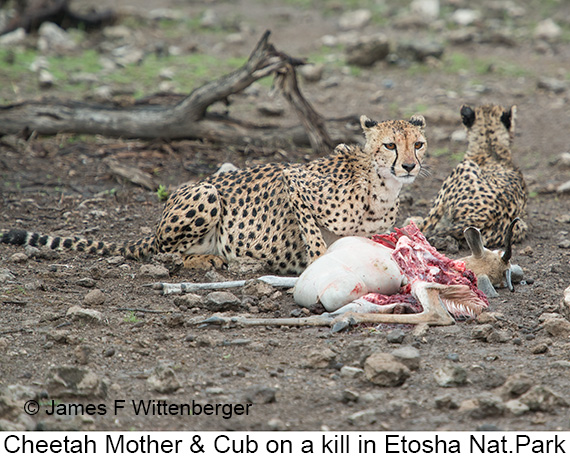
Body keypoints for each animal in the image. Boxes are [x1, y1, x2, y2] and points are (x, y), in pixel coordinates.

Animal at [1, 114, 426, 274]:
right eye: (390, 145)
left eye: (418, 144)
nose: (408, 166)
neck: (380, 185)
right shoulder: (294, 180)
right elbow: (314, 235)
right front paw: (318, 263)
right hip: (206, 191)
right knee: (168, 252)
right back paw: (212, 260)